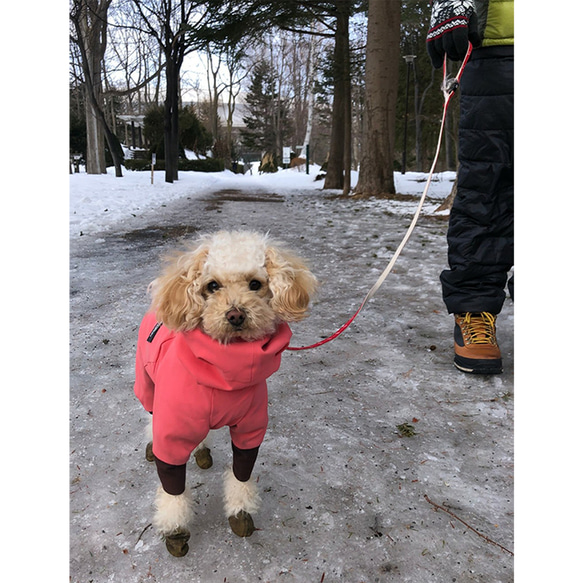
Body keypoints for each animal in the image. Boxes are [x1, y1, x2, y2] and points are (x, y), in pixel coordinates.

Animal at [135, 229, 318, 556]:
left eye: (255, 284)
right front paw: (175, 528)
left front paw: (240, 511)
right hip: (147, 386)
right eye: (212, 286)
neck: (225, 366)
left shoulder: (250, 429)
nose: (235, 315)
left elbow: (240, 474)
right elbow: (173, 489)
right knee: (149, 414)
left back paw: (201, 450)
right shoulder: (172, 434)